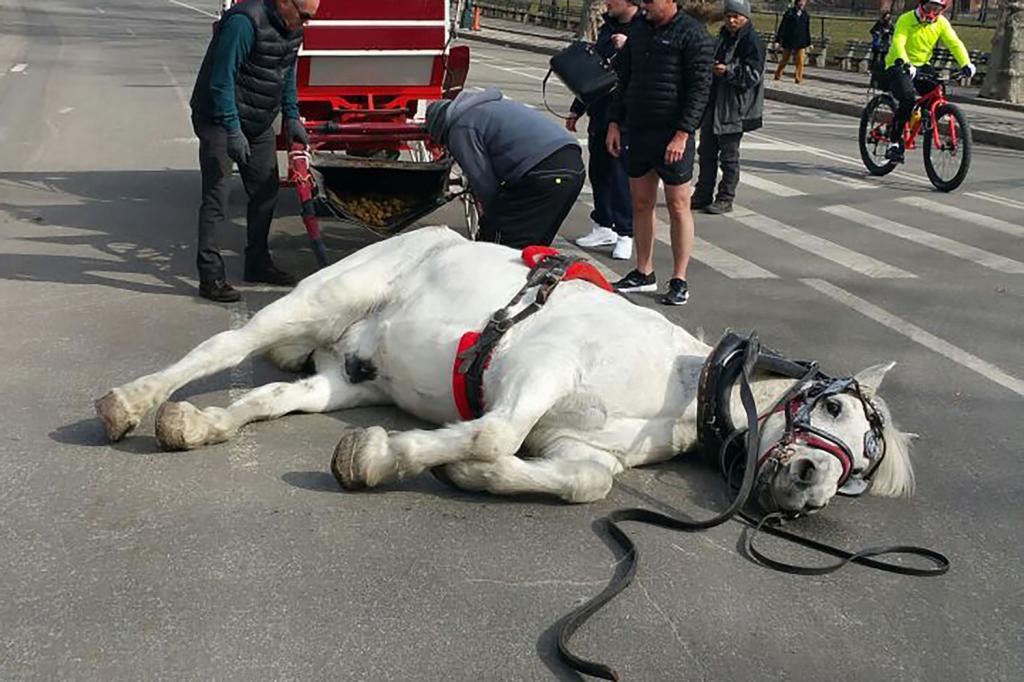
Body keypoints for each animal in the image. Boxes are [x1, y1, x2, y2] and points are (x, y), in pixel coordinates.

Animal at [94, 225, 913, 512]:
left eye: (862, 471)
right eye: (834, 408)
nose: (811, 484)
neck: (674, 385)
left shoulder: (577, 448)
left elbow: (586, 483)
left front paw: (463, 474)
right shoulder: (541, 367)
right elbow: (493, 432)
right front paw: (388, 455)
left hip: (344, 378)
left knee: (267, 396)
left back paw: (197, 422)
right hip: (321, 300)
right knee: (223, 351)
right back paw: (132, 402)